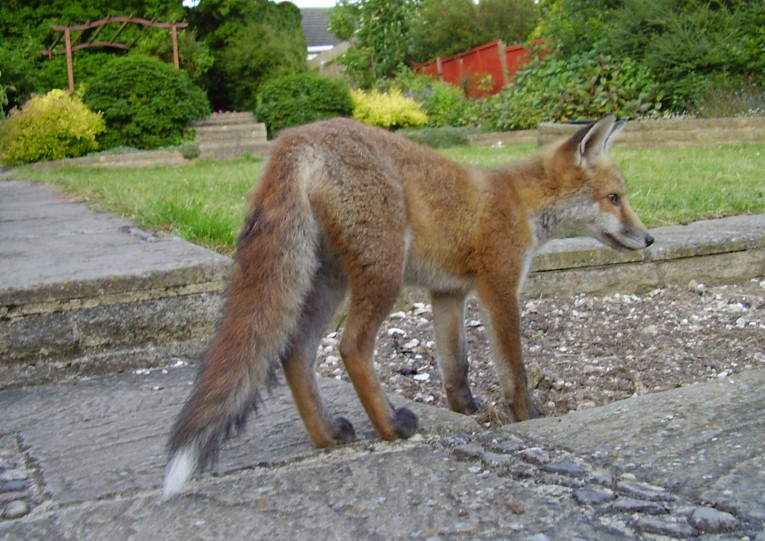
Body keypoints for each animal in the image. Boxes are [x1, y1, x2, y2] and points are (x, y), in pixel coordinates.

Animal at [161, 114, 652, 498]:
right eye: (614, 199)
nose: (649, 239)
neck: (519, 202)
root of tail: (296, 137)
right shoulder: (499, 288)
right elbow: (515, 371)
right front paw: (527, 418)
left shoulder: (449, 294)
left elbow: (456, 368)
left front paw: (465, 411)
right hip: (384, 274)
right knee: (351, 348)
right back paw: (390, 428)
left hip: (329, 284)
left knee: (295, 353)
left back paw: (327, 436)